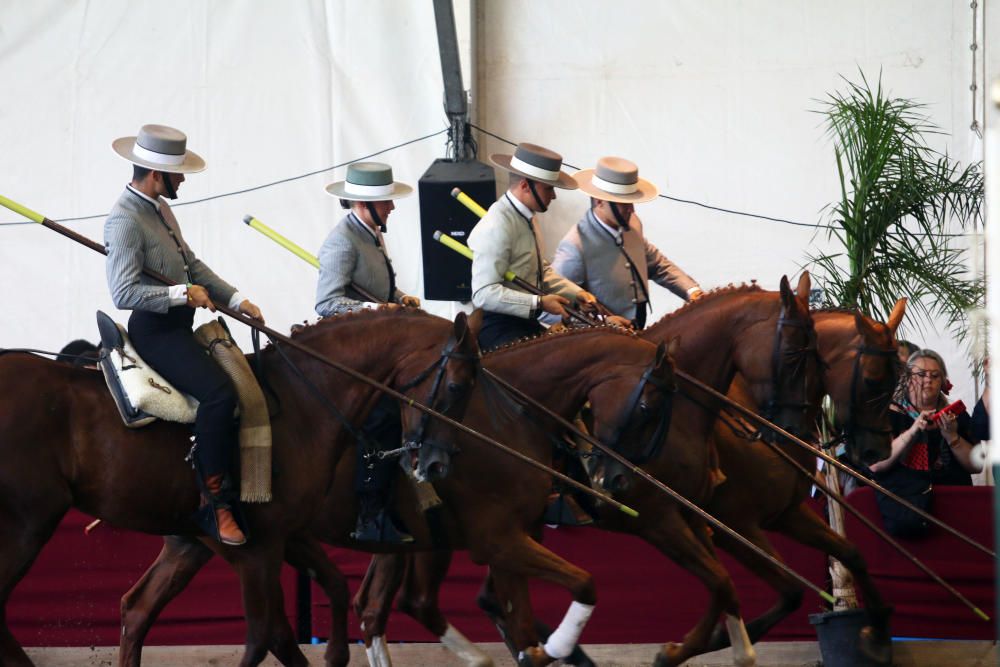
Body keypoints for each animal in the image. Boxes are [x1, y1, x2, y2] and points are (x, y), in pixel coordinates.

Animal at [0, 310, 480, 667]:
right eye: (457, 386)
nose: (436, 463)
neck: (304, 402)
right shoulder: (255, 549)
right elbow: (265, 636)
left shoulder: (282, 535)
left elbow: (328, 592)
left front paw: (336, 653)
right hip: (26, 525)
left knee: (134, 609)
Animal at [113, 326, 684, 664]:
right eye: (650, 406)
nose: (618, 481)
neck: (506, 422)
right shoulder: (496, 539)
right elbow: (572, 590)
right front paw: (558, 645)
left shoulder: (494, 541)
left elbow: (515, 620)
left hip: (197, 541)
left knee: (139, 608)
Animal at [348, 274, 824, 664]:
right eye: (793, 354)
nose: (794, 430)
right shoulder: (660, 520)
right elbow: (721, 581)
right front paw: (675, 652)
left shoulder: (694, 515)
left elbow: (724, 584)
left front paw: (725, 645)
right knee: (396, 605)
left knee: (407, 603)